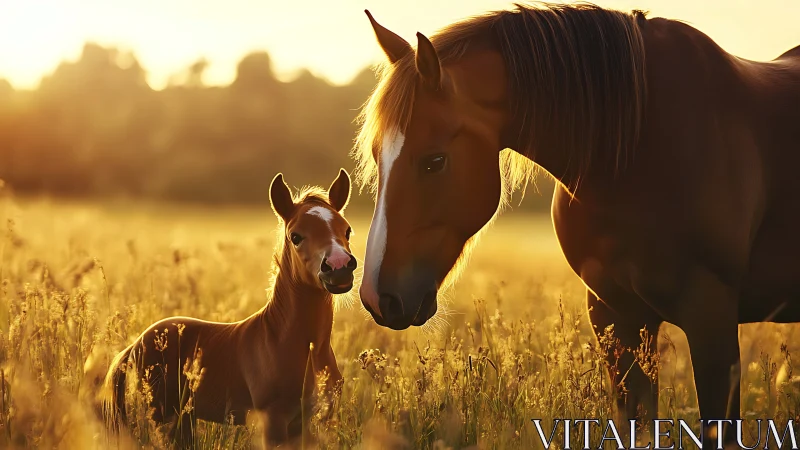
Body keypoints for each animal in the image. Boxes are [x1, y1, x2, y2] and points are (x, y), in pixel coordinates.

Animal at [103, 169, 356, 448]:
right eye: (296, 236)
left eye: (347, 230)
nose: (339, 266)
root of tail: (135, 344)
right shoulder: (274, 421)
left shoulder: (310, 424)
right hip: (160, 415)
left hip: (184, 417)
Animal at [354, 4, 800, 447]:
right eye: (377, 156)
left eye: (435, 161)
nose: (377, 297)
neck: (637, 149)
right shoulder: (613, 316)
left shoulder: (711, 318)